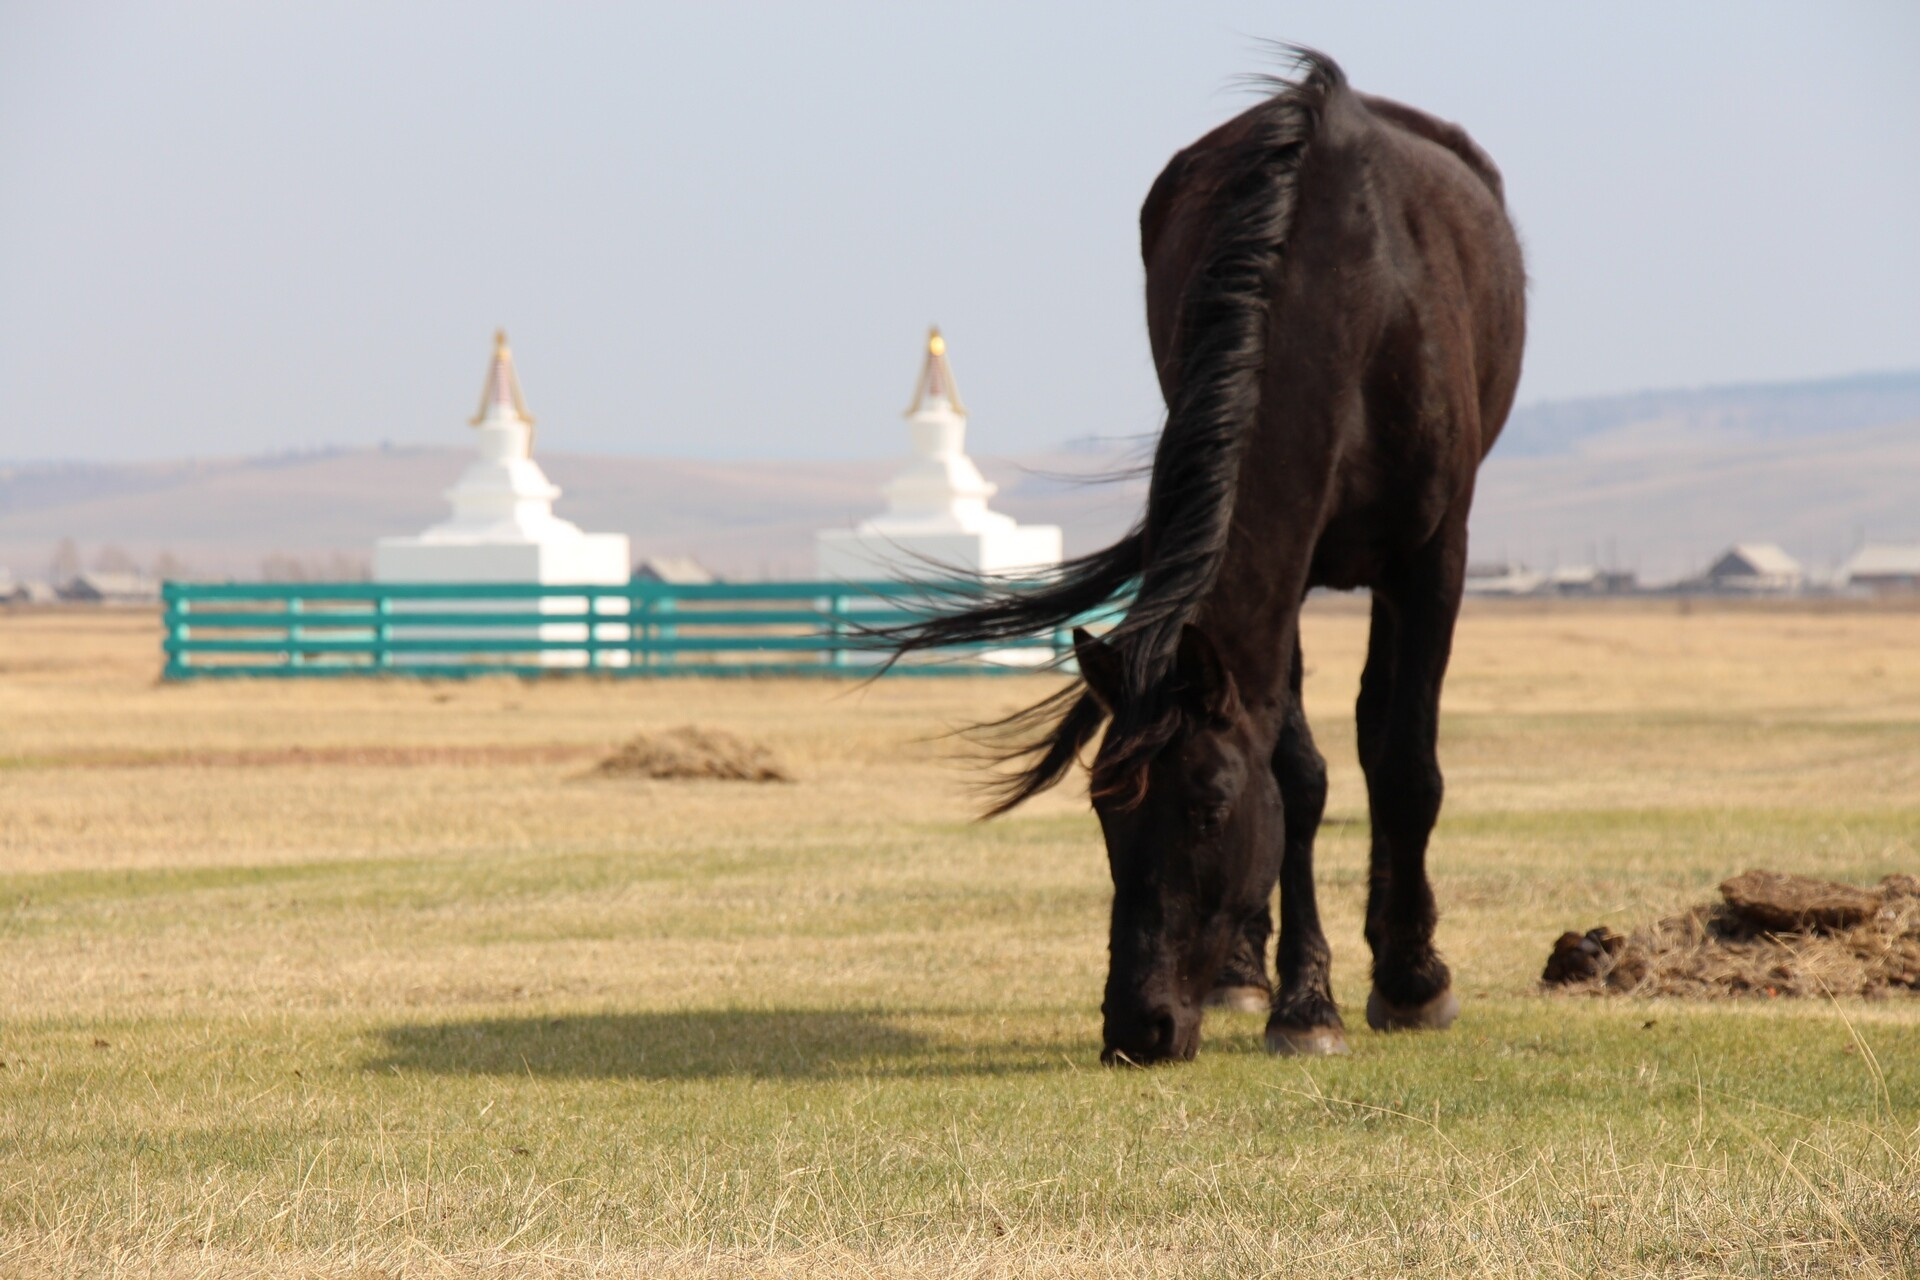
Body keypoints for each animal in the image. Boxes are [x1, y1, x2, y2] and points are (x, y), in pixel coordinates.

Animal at [883, 52, 1528, 1074]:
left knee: (1383, 732)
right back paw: (1242, 972)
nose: (1136, 1029)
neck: (1359, 300)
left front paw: (1412, 982)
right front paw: (1303, 1000)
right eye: (1103, 808)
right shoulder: (1285, 580)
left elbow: (1405, 763)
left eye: (1210, 809)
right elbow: (1299, 776)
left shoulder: (1436, 559)